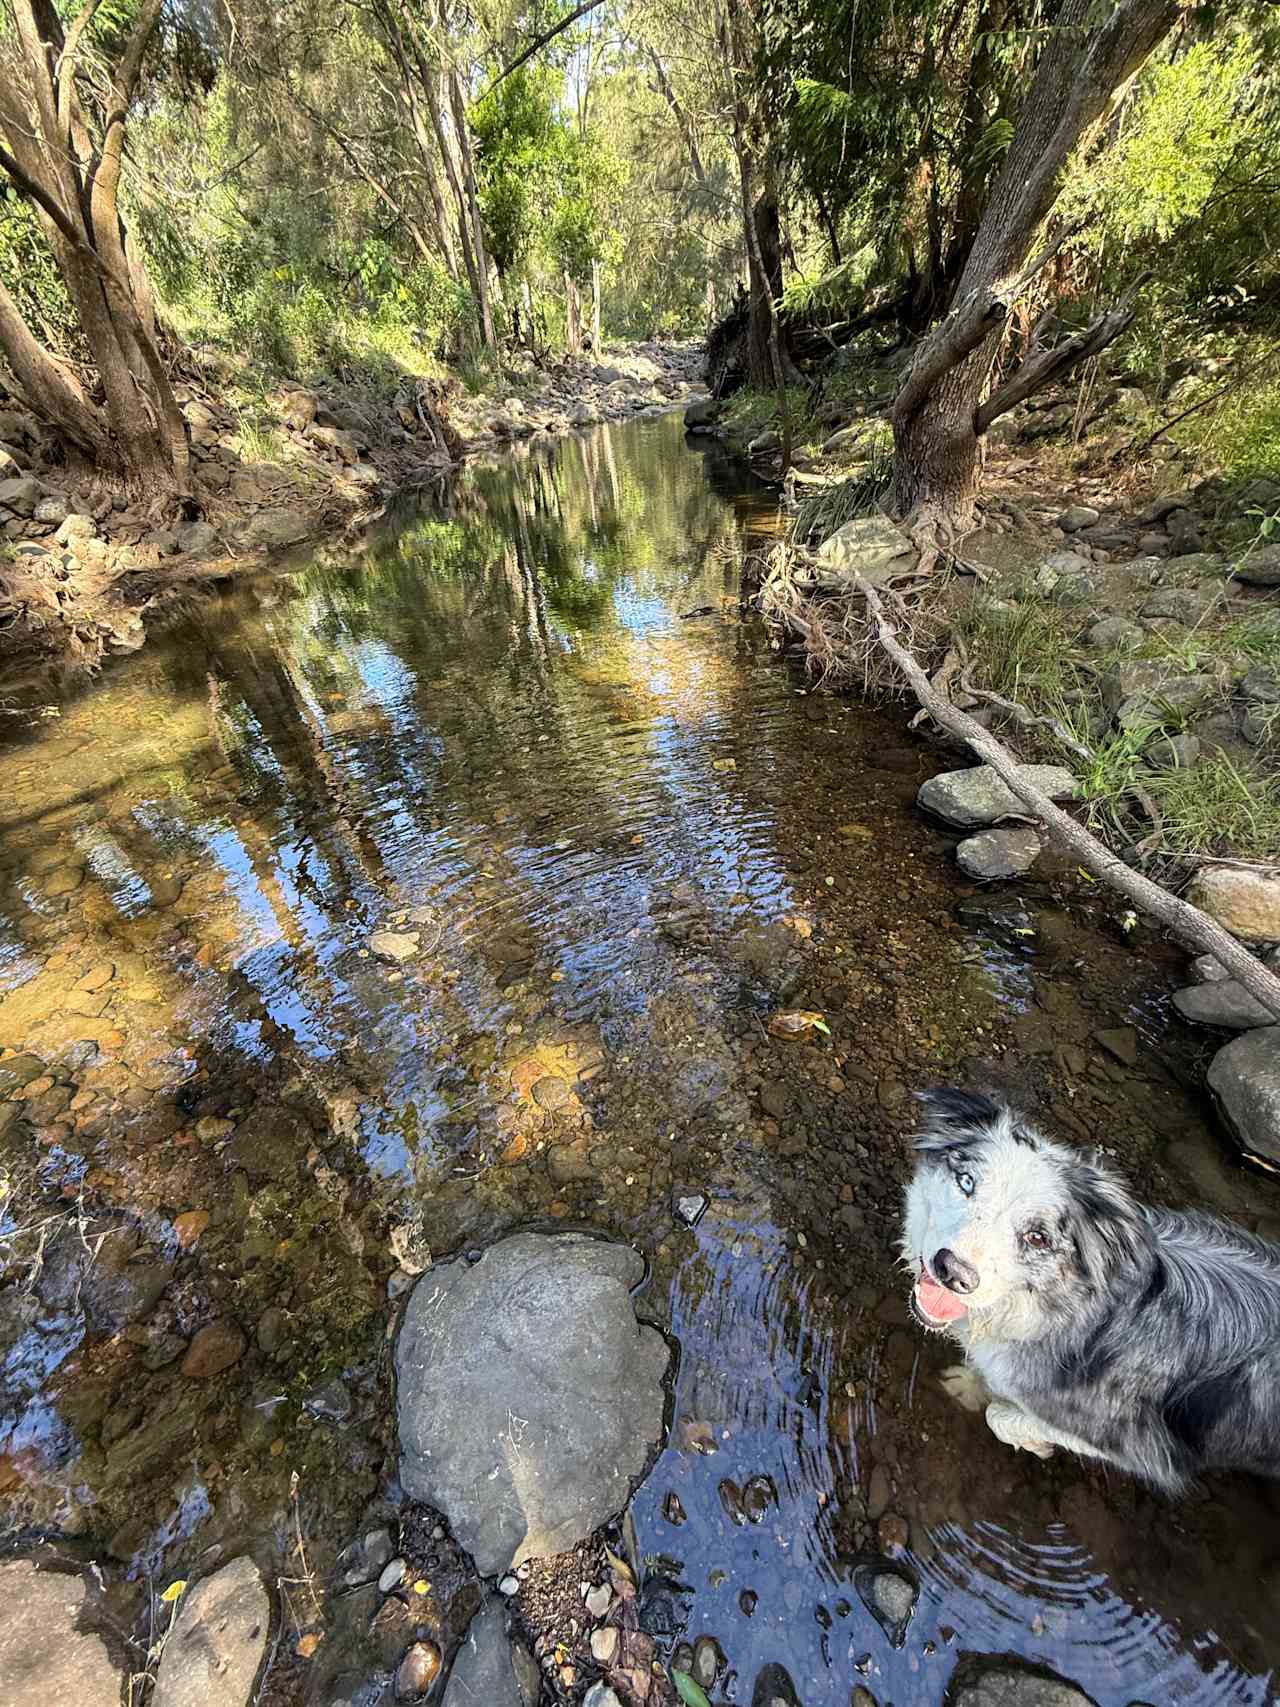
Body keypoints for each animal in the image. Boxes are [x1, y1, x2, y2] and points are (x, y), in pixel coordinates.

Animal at [907, 1085, 1280, 1488]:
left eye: (1037, 1237)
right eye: (967, 1182)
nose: (954, 1272)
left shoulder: (1143, 1450)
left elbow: (1001, 1417)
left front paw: (1031, 1438)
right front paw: (970, 1384)